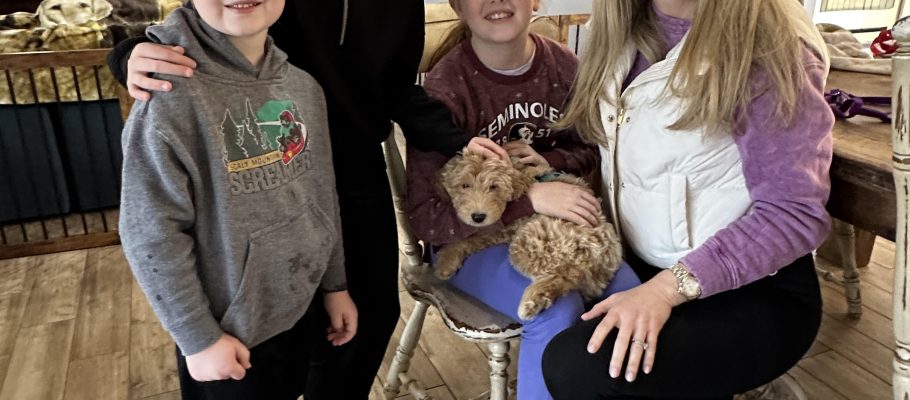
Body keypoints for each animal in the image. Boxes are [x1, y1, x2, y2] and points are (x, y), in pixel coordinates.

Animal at [433, 150, 623, 320]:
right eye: (464, 186)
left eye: (494, 187)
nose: (478, 216)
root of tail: (605, 250)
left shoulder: (502, 227)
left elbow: (468, 238)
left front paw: (445, 262)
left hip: (531, 242)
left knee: (566, 275)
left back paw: (531, 301)